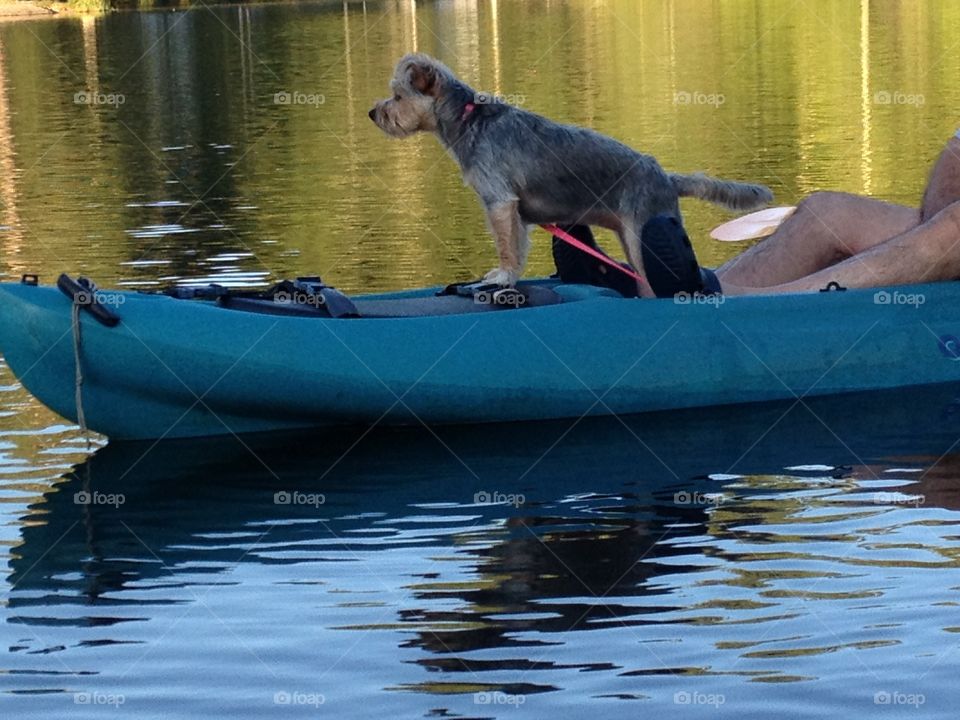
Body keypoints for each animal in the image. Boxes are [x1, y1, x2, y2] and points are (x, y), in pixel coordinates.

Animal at [368, 52, 772, 292]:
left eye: (398, 96)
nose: (374, 113)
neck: (468, 120)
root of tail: (666, 178)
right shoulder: (514, 212)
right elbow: (517, 245)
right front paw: (510, 276)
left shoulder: (499, 201)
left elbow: (506, 247)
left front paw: (502, 276)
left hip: (642, 236)